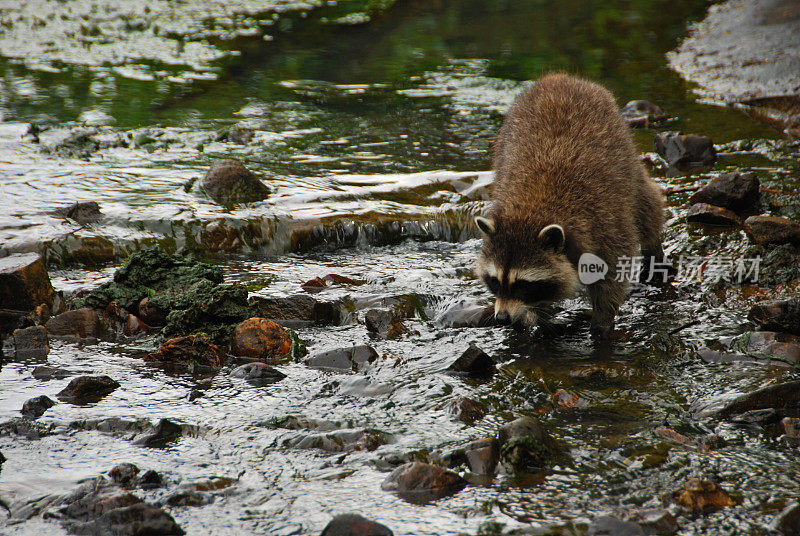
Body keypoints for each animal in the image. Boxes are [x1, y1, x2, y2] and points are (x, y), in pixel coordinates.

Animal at [478, 73, 664, 338]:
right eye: (494, 281)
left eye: (523, 285)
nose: (502, 318)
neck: (532, 207)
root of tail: (559, 78)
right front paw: (534, 315)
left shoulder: (605, 225)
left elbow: (613, 274)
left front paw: (602, 318)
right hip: (504, 140)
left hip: (625, 154)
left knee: (646, 205)